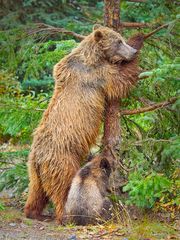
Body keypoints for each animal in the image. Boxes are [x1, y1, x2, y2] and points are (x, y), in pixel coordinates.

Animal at [23, 25, 136, 222]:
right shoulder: (95, 74)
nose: (133, 51)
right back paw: (64, 215)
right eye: (119, 41)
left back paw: (34, 212)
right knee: (63, 187)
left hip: (34, 171)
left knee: (37, 192)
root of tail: (38, 158)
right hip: (63, 161)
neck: (93, 57)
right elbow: (120, 79)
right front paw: (140, 39)